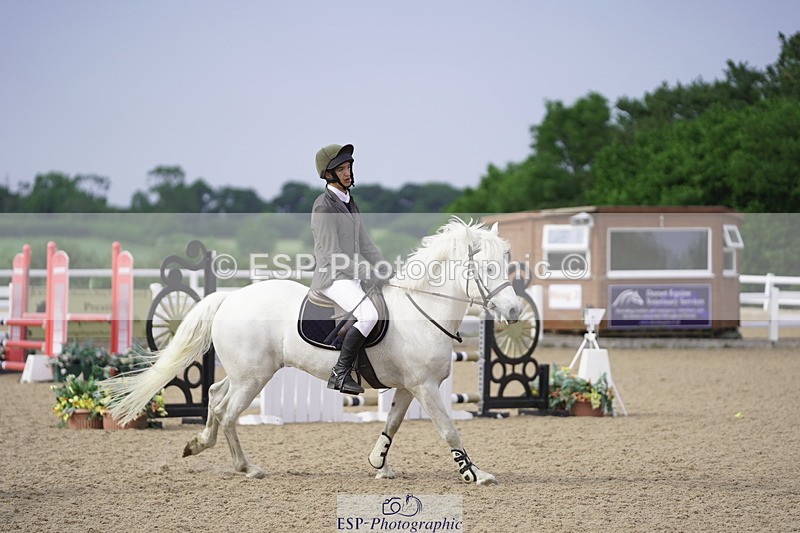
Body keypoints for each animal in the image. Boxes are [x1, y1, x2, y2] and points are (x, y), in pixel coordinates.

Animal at [103, 218, 522, 485]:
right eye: (488, 269)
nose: (515, 311)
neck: (422, 309)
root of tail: (229, 298)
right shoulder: (425, 387)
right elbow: (449, 430)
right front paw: (474, 474)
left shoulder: (409, 387)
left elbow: (391, 424)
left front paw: (379, 464)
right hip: (254, 377)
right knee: (228, 412)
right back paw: (247, 467)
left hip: (242, 373)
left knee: (215, 396)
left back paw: (199, 443)